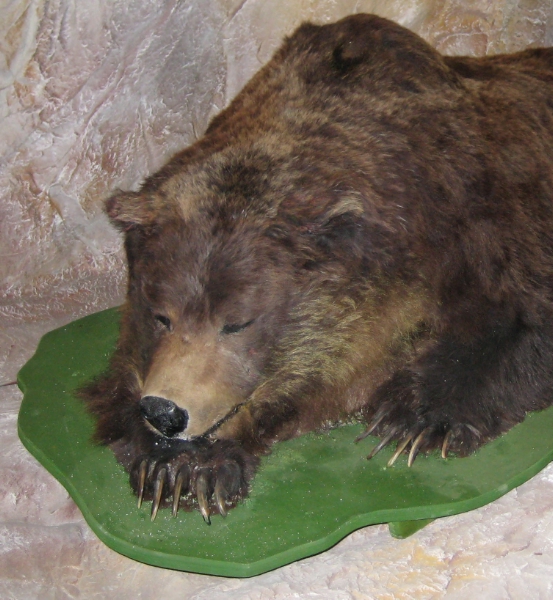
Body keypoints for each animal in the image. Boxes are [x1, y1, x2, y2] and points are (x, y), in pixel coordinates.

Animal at [81, 13, 553, 523]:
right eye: (161, 315)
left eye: (237, 323)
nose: (166, 412)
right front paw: (178, 471)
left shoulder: (480, 216)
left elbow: (515, 318)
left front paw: (412, 421)